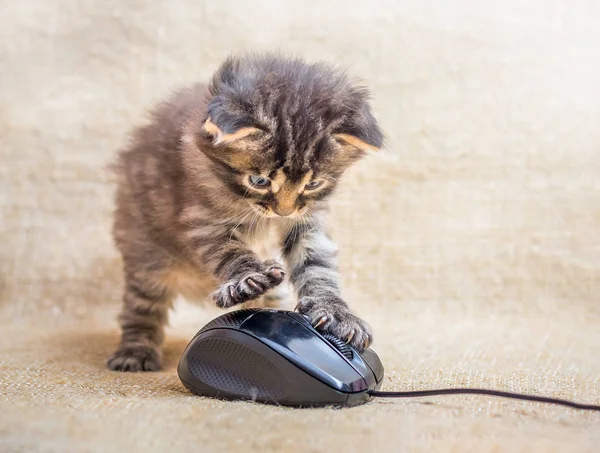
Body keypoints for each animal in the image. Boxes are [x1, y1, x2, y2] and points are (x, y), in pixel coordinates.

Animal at [106, 53, 384, 370]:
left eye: (313, 183)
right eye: (259, 181)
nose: (283, 212)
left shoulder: (307, 221)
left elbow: (318, 267)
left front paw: (336, 312)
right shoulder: (203, 219)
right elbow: (230, 253)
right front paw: (246, 280)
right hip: (146, 252)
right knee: (141, 307)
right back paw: (135, 352)